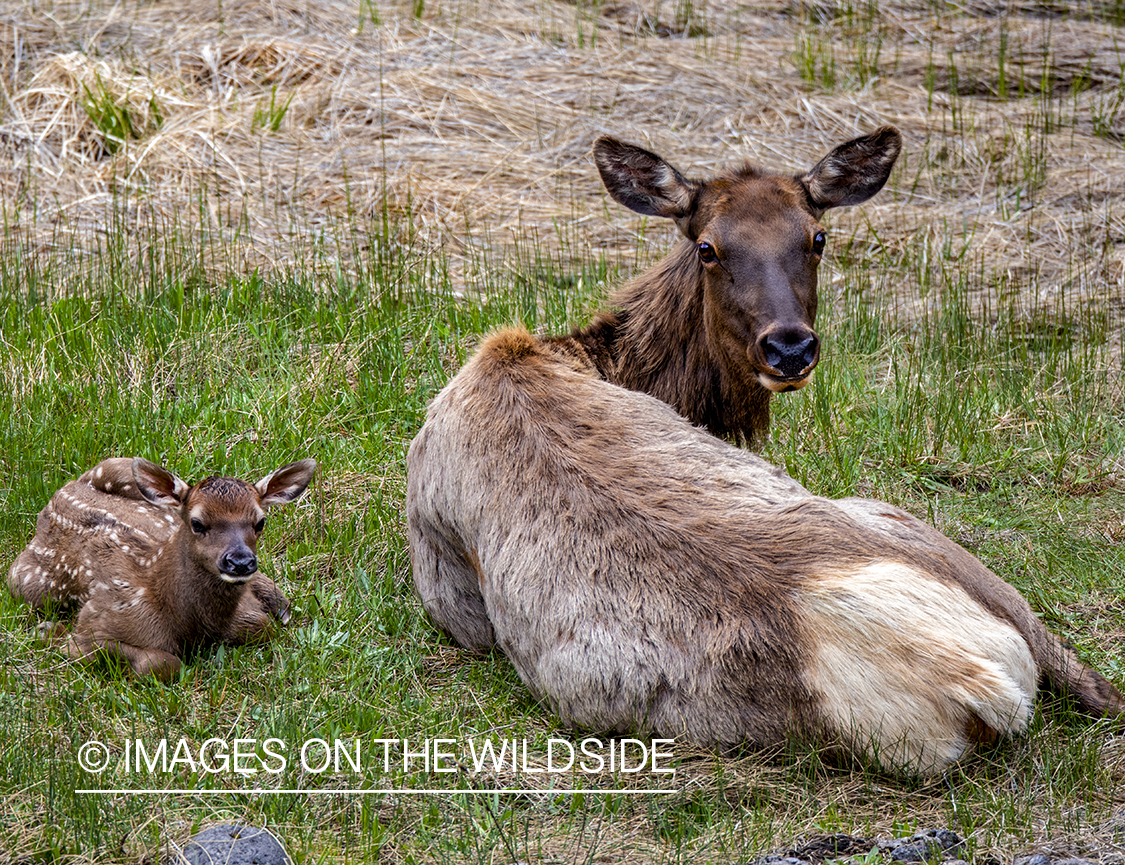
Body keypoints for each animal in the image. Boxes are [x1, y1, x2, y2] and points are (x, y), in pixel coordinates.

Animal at [8, 458, 317, 683]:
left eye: (260, 522)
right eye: (197, 523)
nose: (240, 562)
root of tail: (60, 494)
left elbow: (262, 625)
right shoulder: (96, 620)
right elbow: (162, 662)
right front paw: (50, 632)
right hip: (25, 582)